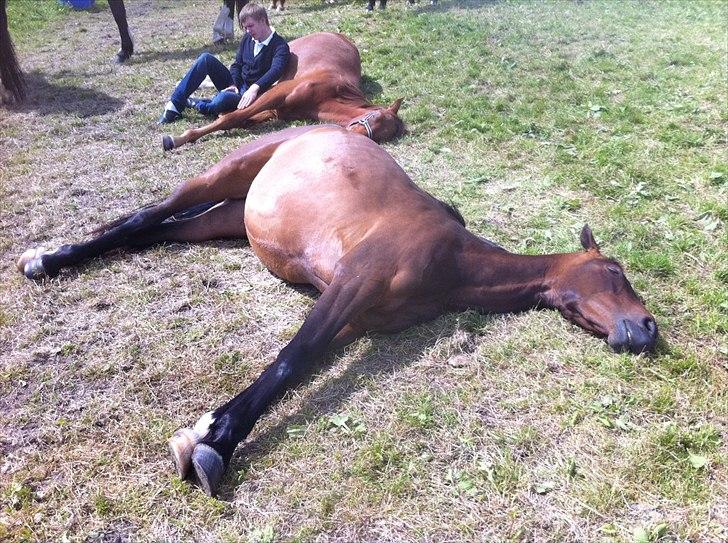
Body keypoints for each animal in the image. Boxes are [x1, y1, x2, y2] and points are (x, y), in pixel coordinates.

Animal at [17, 124, 656, 498]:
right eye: (616, 271)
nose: (647, 328)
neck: (452, 258)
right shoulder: (352, 280)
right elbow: (291, 361)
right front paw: (214, 444)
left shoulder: (356, 317)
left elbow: (305, 360)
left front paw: (208, 431)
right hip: (221, 175)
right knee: (144, 217)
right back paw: (46, 258)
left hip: (229, 217)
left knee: (155, 230)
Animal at [161, 32, 406, 152]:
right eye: (374, 116)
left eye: (382, 137)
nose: (354, 139)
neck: (329, 92)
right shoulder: (277, 92)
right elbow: (234, 117)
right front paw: (178, 138)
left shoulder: (279, 108)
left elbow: (243, 118)